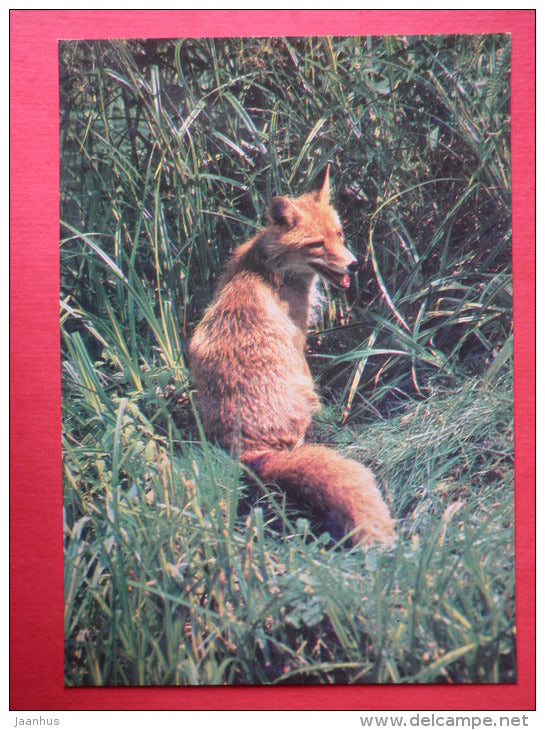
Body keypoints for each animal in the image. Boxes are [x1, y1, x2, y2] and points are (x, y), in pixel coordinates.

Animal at [188, 168, 395, 546]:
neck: (269, 266)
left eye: (338, 234)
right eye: (316, 244)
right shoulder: (298, 339)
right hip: (303, 394)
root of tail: (251, 450)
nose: (355, 265)